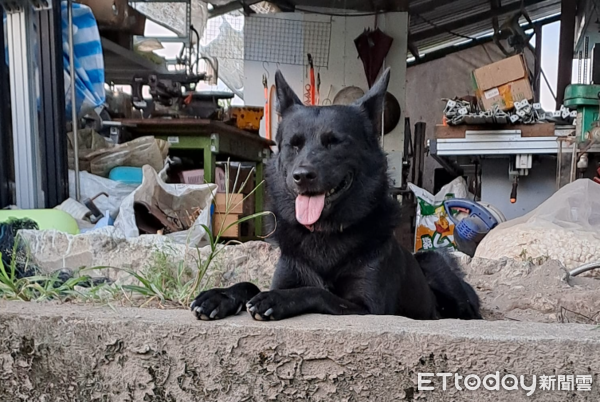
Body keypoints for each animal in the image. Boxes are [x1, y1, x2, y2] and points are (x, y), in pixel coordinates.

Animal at [192, 68, 482, 320]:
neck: (324, 234)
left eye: (334, 142)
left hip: (434, 260)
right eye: (293, 145)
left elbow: (318, 291)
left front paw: (276, 299)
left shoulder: (368, 308)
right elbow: (252, 284)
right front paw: (219, 296)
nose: (302, 176)